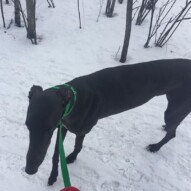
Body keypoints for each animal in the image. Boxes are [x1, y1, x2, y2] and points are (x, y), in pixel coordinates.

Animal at [24, 59, 191, 185]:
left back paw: (155, 147)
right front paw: (53, 176)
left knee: (172, 133)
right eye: (27, 126)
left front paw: (71, 157)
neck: (74, 98)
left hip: (173, 109)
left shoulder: (82, 129)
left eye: (48, 128)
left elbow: (77, 146)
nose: (29, 170)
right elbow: (55, 154)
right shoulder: (63, 125)